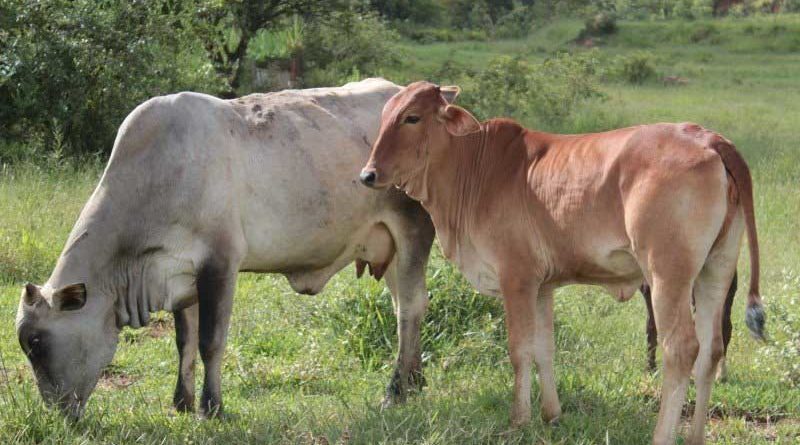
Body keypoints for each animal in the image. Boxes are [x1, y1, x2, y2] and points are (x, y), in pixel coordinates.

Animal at [16, 78, 435, 420]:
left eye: (36, 343)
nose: (57, 414)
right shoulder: (180, 275)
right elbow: (184, 342)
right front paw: (181, 402)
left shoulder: (220, 264)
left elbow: (210, 342)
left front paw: (212, 407)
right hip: (389, 248)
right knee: (403, 308)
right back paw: (415, 382)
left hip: (413, 232)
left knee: (411, 308)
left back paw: (396, 392)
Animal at [359, 81, 764, 445]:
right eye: (385, 116)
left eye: (412, 117)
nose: (368, 174)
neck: (474, 167)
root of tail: (707, 138)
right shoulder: (543, 286)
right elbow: (544, 349)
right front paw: (551, 414)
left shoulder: (517, 278)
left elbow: (520, 350)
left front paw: (519, 419)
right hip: (716, 269)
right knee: (712, 348)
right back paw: (695, 435)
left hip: (668, 274)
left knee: (680, 349)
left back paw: (662, 436)